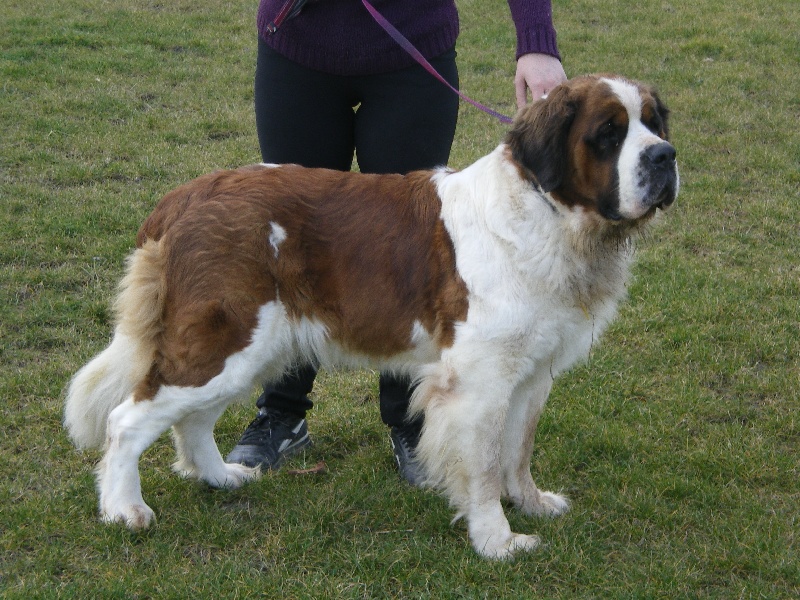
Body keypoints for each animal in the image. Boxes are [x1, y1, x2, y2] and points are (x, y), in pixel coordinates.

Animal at [64, 74, 676, 556]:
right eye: (608, 134)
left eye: (654, 124)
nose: (665, 157)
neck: (551, 217)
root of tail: (185, 196)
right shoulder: (478, 382)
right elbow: (482, 466)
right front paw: (497, 541)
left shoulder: (529, 374)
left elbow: (516, 451)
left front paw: (530, 503)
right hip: (227, 341)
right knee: (127, 420)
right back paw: (124, 509)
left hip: (249, 347)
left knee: (190, 420)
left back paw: (221, 478)